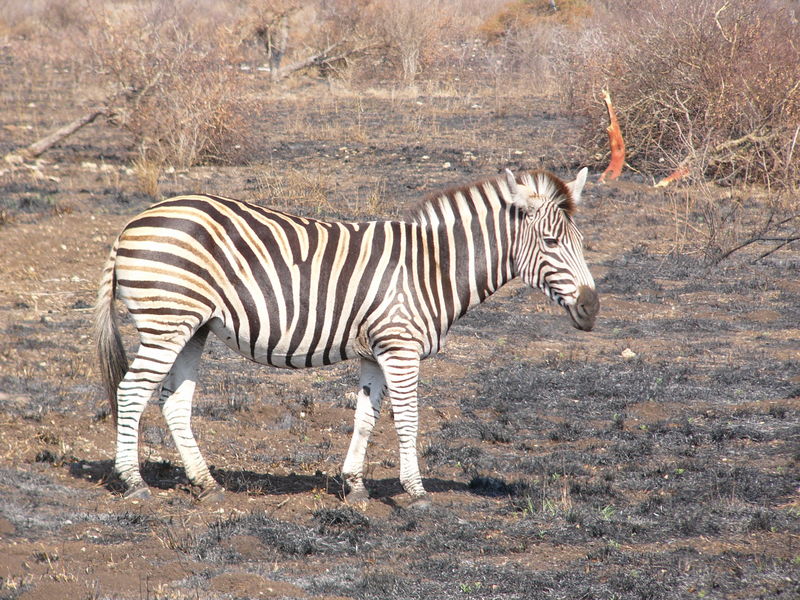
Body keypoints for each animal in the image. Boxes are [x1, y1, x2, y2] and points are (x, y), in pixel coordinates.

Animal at [94, 168, 596, 506]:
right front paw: (416, 491)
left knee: (174, 399)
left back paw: (207, 484)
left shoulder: (375, 352)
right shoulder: (400, 347)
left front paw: (354, 486)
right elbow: (408, 419)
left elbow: (365, 418)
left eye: (581, 241)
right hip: (167, 319)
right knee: (132, 391)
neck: (431, 268)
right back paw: (134, 483)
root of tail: (134, 222)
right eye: (552, 242)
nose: (592, 308)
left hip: (192, 327)